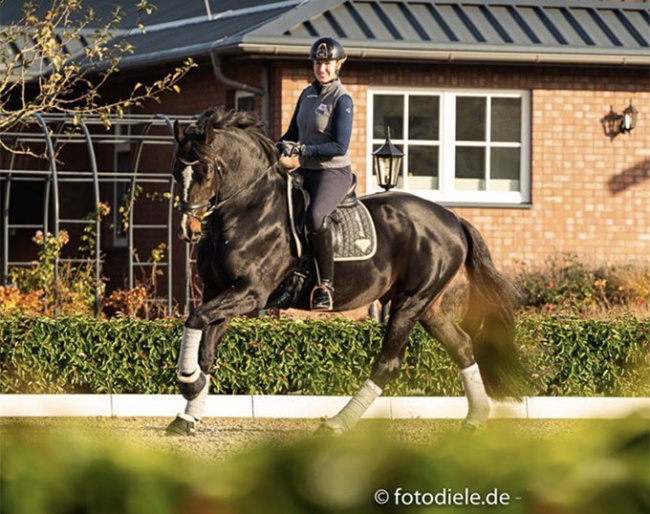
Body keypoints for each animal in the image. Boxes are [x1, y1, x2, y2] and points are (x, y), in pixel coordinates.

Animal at [165, 106, 528, 434]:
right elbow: (206, 349)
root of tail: (453, 218)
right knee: (462, 346)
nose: (188, 229)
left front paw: (187, 382)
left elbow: (194, 319)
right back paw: (475, 418)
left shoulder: (250, 293)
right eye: (176, 172)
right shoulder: (219, 292)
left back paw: (338, 422)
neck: (249, 209)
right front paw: (188, 414)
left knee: (388, 364)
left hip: (409, 303)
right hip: (427, 306)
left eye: (206, 172)